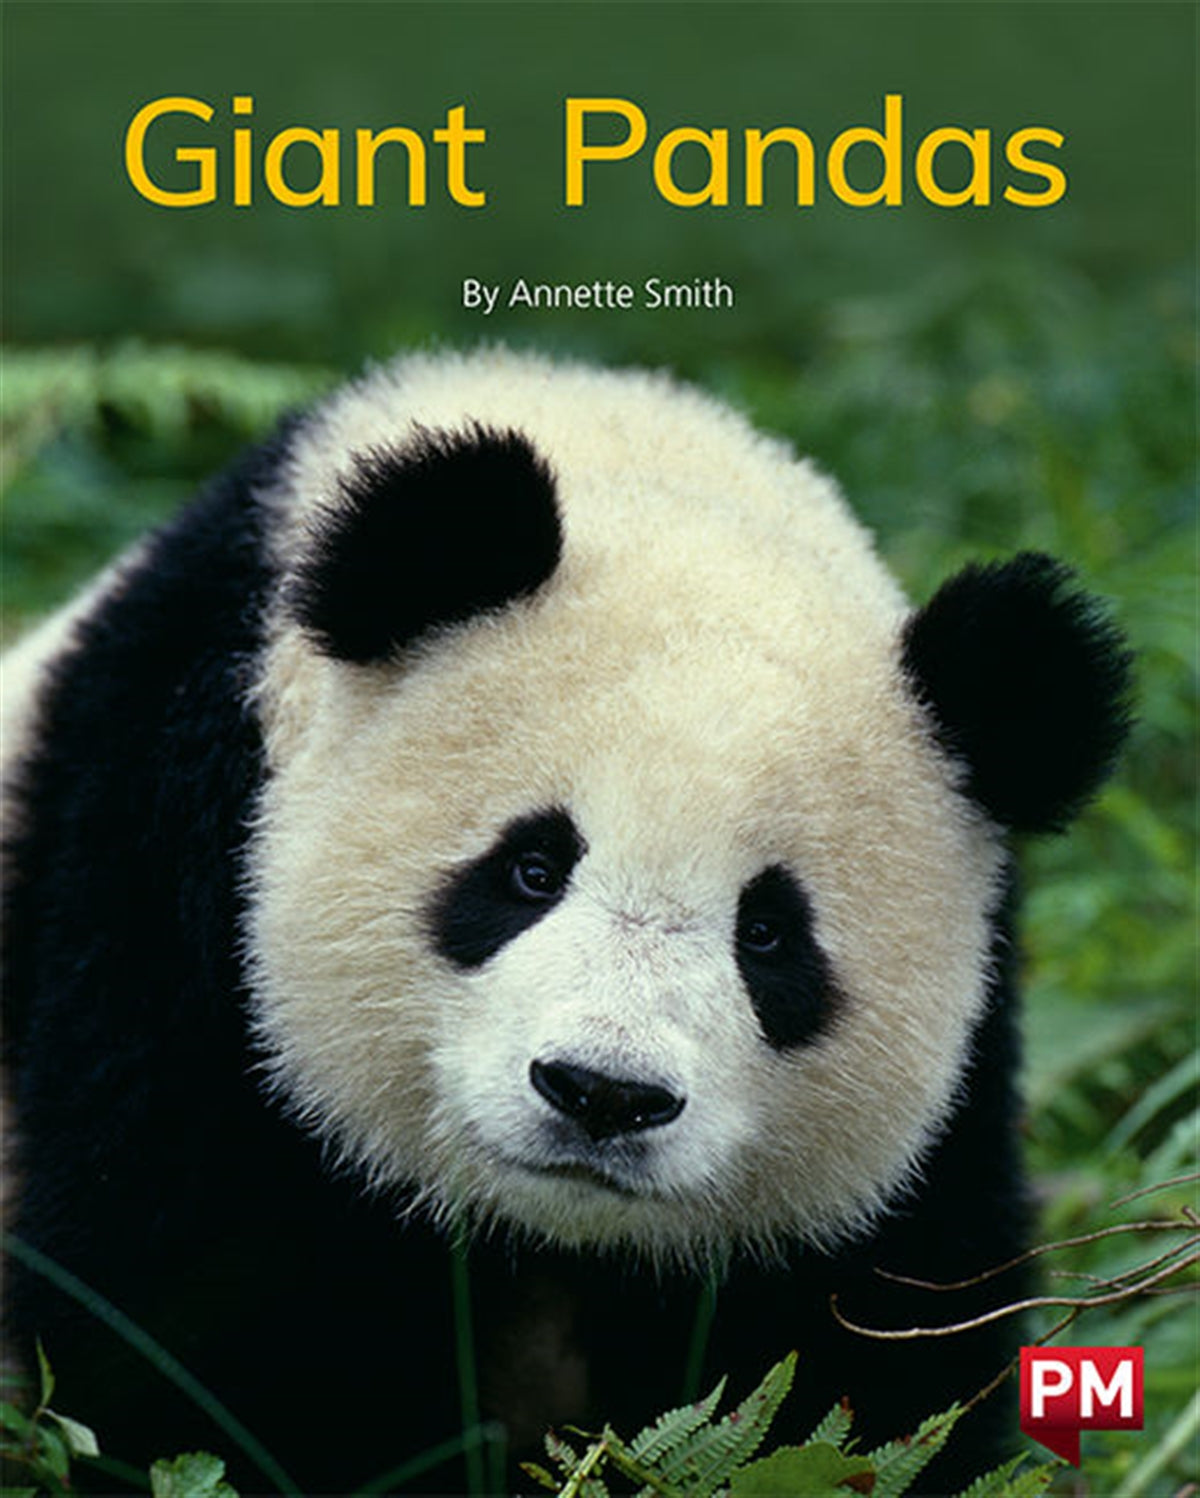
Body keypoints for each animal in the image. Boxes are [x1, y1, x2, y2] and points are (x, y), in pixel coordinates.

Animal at [1, 348, 1129, 1495]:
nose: (604, 1094)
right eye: (531, 870)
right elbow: (194, 1317)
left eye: (768, 936)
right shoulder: (163, 875)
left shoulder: (956, 1078)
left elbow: (873, 1351)